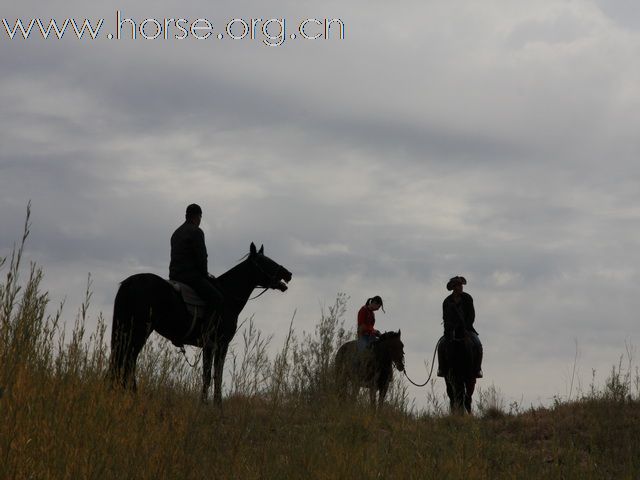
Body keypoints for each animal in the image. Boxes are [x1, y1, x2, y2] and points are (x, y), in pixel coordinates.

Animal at [108, 242, 292, 404]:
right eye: (266, 261)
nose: (288, 274)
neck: (227, 296)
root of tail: (131, 282)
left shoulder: (208, 347)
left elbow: (207, 375)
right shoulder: (219, 344)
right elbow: (215, 376)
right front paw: (214, 406)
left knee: (124, 361)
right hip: (139, 331)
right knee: (128, 361)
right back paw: (132, 396)